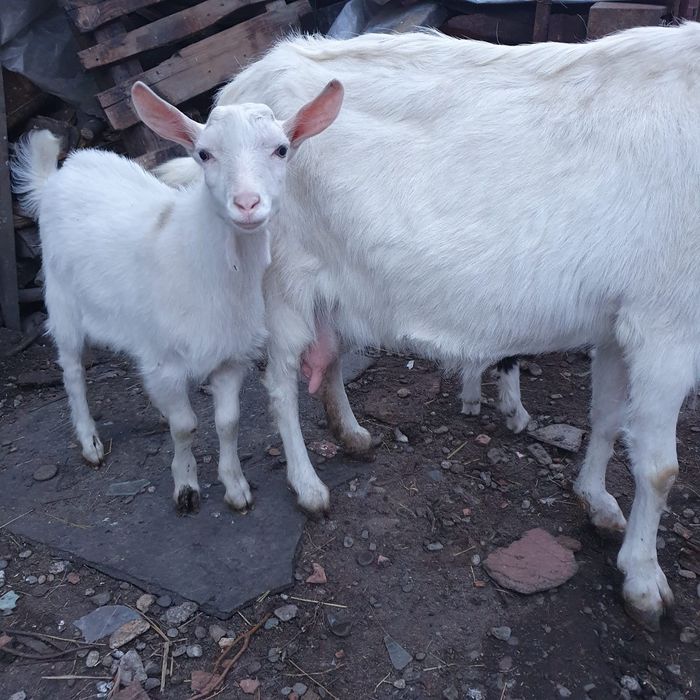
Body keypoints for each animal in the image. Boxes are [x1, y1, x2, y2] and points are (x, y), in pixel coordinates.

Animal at [12, 79, 343, 513]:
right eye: (204, 154)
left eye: (281, 149)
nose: (247, 203)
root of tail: (55, 177)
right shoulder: (164, 361)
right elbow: (186, 426)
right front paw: (186, 486)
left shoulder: (230, 357)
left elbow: (228, 422)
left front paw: (235, 487)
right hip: (61, 300)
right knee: (72, 371)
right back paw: (90, 441)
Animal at [154, 25, 700, 629]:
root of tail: (243, 82)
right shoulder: (667, 323)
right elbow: (660, 470)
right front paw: (645, 583)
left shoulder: (620, 321)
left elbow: (605, 417)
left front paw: (598, 502)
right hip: (283, 280)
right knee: (279, 384)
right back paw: (309, 487)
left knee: (329, 355)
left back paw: (352, 434)